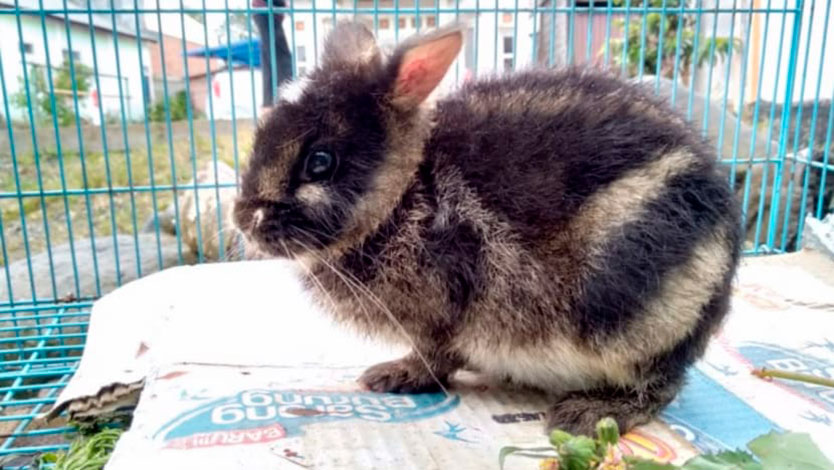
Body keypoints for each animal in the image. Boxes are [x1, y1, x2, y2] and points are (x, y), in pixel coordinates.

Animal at [232, 20, 740, 436]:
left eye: (320, 162)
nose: (243, 221)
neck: (406, 191)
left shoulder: (445, 313)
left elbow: (435, 355)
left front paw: (395, 376)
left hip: (623, 308)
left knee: (661, 384)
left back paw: (592, 413)